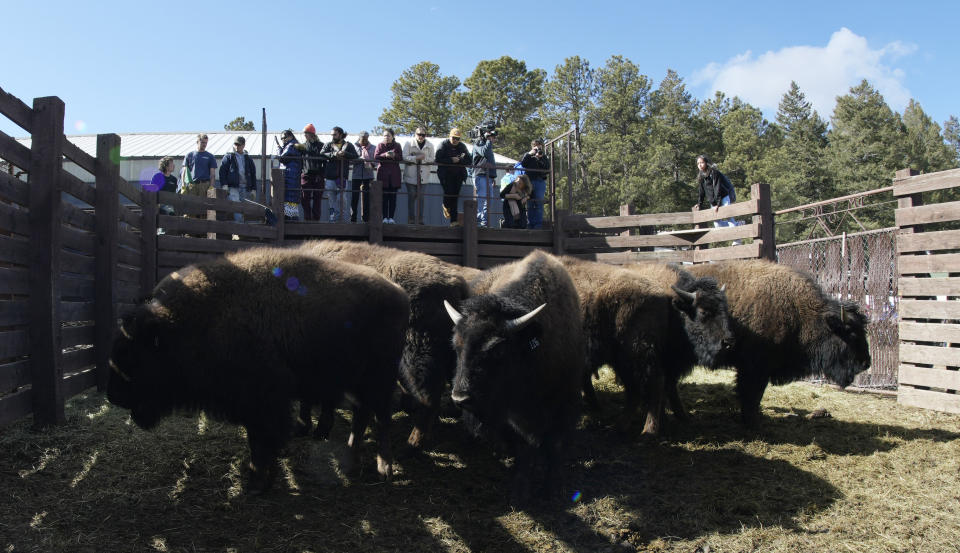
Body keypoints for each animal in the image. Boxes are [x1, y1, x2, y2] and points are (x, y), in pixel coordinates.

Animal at [108, 248, 408, 490]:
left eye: (134, 355)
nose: (113, 396)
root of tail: (398, 292)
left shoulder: (262, 402)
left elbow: (262, 440)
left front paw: (256, 480)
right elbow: (258, 440)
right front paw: (261, 477)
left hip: (380, 378)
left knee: (381, 417)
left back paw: (384, 469)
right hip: (358, 381)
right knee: (362, 415)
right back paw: (350, 459)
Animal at [442, 250, 584, 500]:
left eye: (498, 349)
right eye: (456, 346)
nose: (460, 398)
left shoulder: (565, 403)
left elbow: (555, 445)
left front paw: (553, 489)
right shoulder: (511, 414)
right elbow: (523, 447)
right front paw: (520, 492)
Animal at [560, 256, 732, 434]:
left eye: (725, 310)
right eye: (704, 312)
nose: (727, 342)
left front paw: (678, 417)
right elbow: (670, 388)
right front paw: (678, 416)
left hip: (632, 356)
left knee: (646, 386)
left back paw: (641, 429)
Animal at [688, 258, 872, 422]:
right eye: (850, 332)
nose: (866, 363)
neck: (803, 314)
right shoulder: (755, 368)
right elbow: (751, 395)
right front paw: (751, 420)